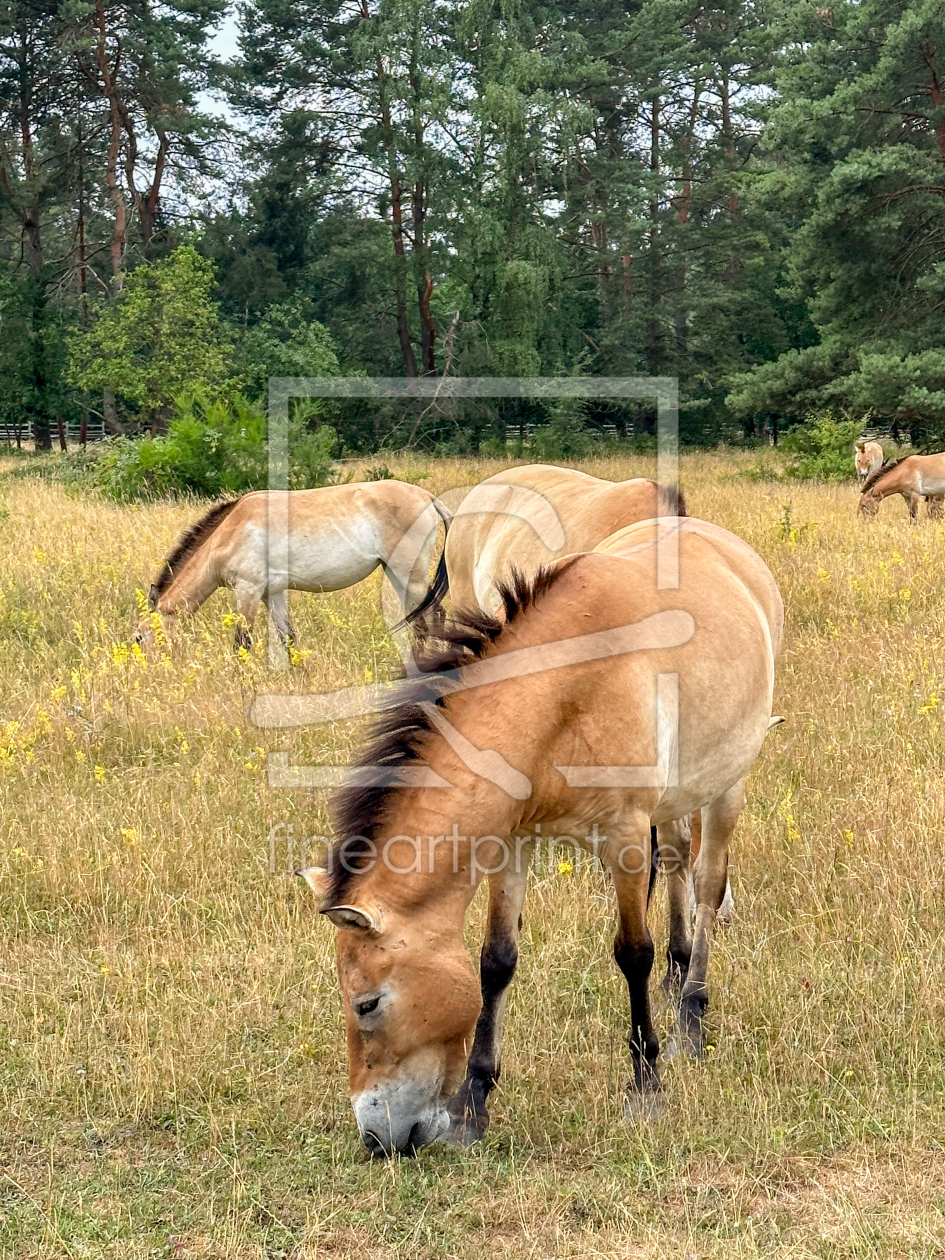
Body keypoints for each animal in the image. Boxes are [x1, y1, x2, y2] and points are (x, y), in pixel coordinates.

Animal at [136, 482, 452, 648]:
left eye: (140, 637)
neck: (228, 533)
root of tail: (428, 497)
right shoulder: (271, 593)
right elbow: (288, 637)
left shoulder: (248, 590)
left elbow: (242, 640)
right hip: (397, 574)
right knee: (420, 619)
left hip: (409, 574)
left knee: (432, 616)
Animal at [300, 515, 783, 1155]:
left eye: (367, 1004)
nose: (376, 1138)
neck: (565, 695)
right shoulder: (513, 843)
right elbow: (495, 961)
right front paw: (473, 1103)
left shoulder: (626, 836)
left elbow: (633, 953)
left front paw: (646, 1085)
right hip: (680, 793)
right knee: (680, 860)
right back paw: (678, 977)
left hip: (727, 784)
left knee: (707, 886)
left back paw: (692, 1015)